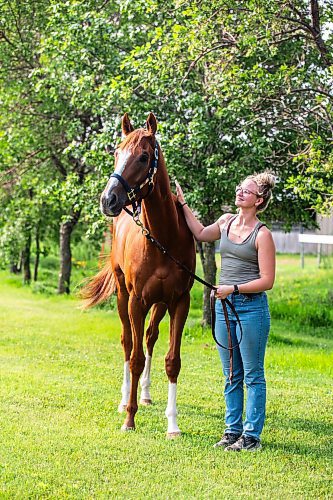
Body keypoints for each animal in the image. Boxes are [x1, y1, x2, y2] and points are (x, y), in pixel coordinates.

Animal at [82, 113, 195, 438]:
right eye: (116, 152)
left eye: (144, 157)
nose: (108, 199)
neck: (163, 238)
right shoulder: (136, 301)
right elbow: (134, 358)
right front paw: (129, 419)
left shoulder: (180, 302)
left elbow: (172, 361)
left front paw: (173, 424)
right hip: (124, 296)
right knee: (128, 342)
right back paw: (125, 400)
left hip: (159, 305)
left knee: (149, 337)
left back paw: (144, 394)